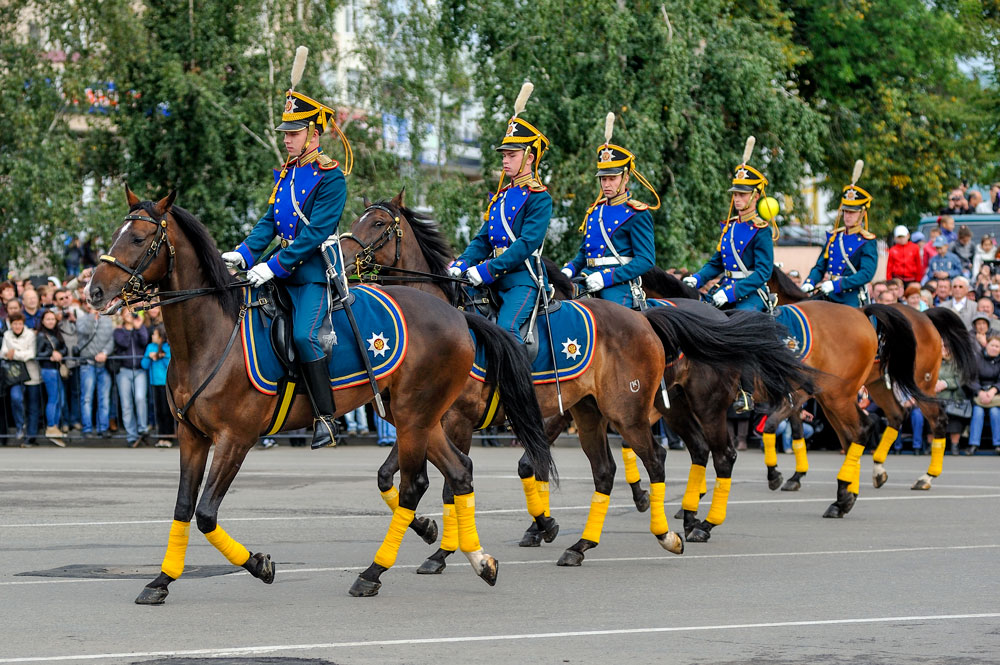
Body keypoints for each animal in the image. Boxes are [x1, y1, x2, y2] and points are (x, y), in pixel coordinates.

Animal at [85, 188, 556, 600]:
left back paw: (374, 573)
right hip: (420, 418)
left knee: (419, 484)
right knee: (458, 474)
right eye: (117, 234)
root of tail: (459, 318)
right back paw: (480, 561)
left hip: (419, 417)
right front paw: (161, 581)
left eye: (139, 238)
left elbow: (205, 514)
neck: (212, 336)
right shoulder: (191, 436)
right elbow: (184, 509)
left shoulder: (235, 439)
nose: (94, 291)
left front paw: (258, 565)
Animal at [342, 192, 812, 560]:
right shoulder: (426, 419)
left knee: (716, 453)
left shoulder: (468, 419)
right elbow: (393, 476)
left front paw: (447, 551)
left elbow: (463, 480)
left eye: (379, 223)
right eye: (357, 219)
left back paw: (698, 524)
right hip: (666, 407)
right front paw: (435, 532)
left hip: (690, 405)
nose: (339, 258)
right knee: (688, 452)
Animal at [636, 264, 932, 520]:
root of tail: (861, 314)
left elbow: (769, 427)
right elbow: (794, 430)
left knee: (877, 427)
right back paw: (850, 493)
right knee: (868, 428)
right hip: (847, 393)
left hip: (848, 394)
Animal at [764, 268, 976, 490]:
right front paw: (796, 476)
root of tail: (924, 317)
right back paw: (878, 470)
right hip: (878, 384)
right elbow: (796, 428)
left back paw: (927, 477)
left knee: (938, 420)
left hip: (921, 383)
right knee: (896, 415)